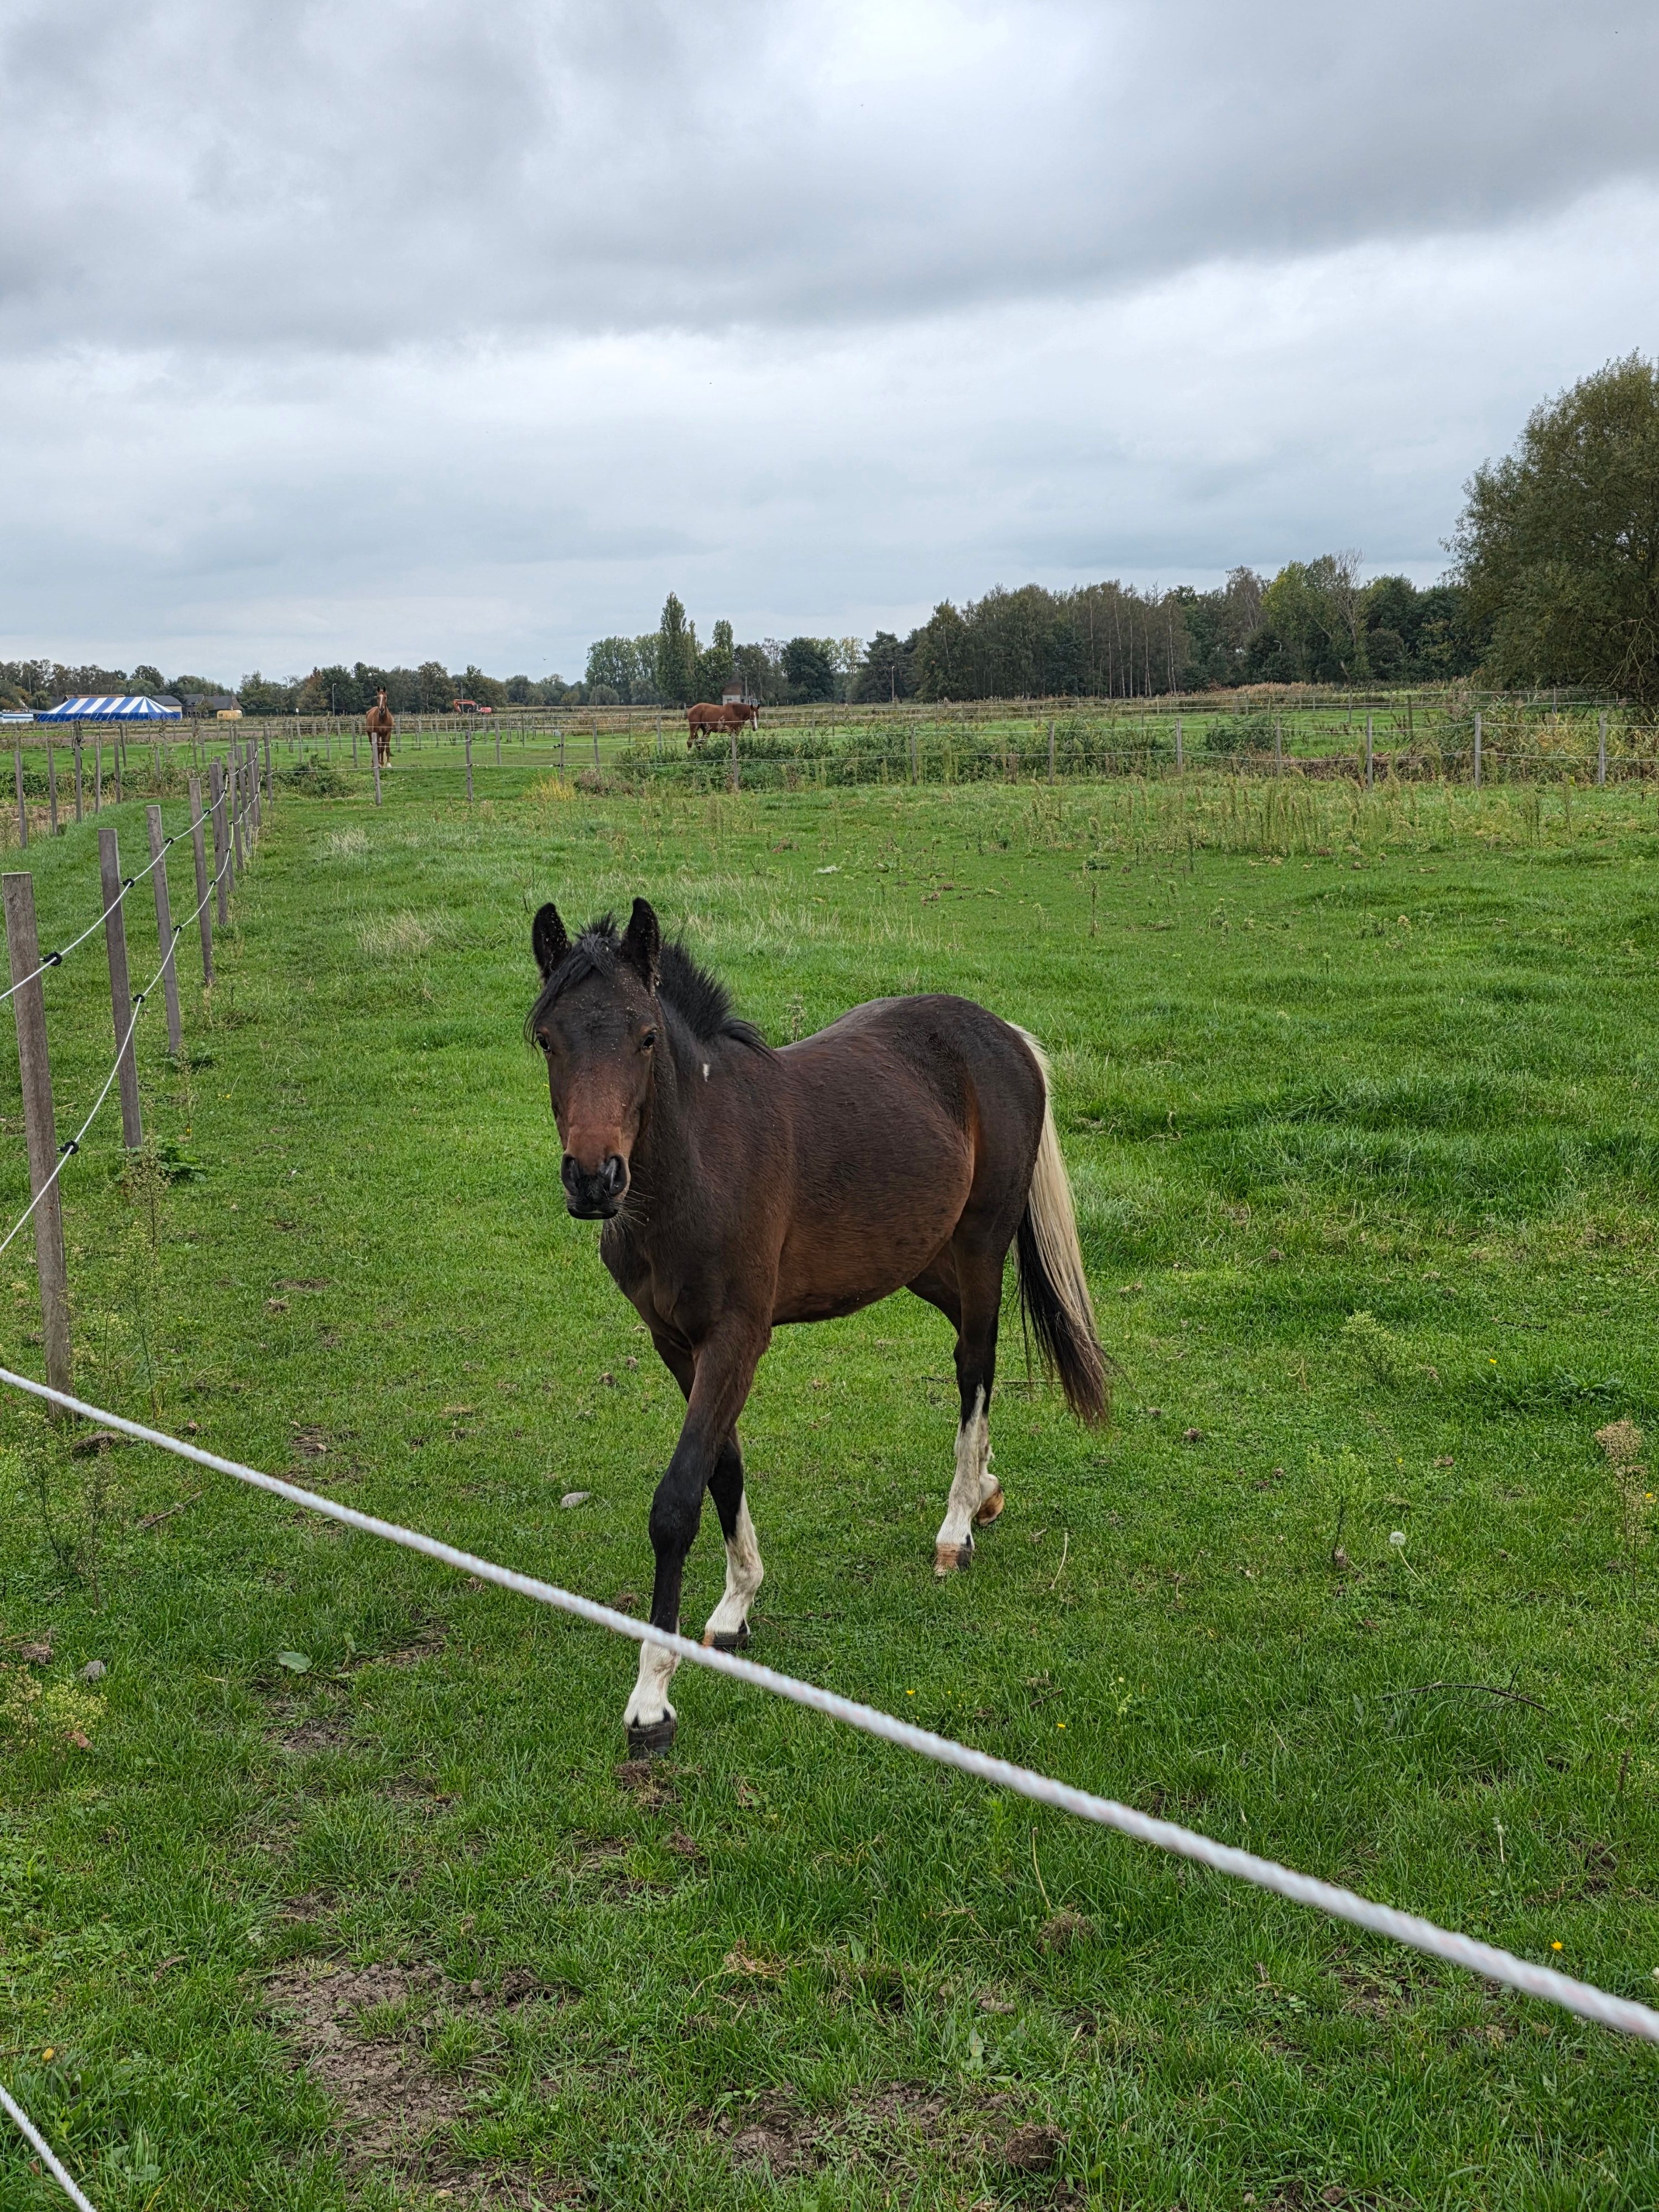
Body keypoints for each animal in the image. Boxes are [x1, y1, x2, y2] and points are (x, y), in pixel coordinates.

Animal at [366, 689, 394, 766]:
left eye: (385, 697)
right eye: (377, 697)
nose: (382, 710)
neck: (383, 719)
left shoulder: (388, 733)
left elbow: (386, 748)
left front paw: (388, 764)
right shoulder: (377, 734)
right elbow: (378, 748)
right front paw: (379, 763)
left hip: (383, 735)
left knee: (382, 748)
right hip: (370, 735)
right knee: (373, 748)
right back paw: (374, 763)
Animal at [526, 898, 1108, 1754]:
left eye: (646, 1036)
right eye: (548, 1036)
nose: (594, 1180)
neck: (700, 1167)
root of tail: (1003, 1035)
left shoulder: (736, 1339)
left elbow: (677, 1501)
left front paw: (652, 1699)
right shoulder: (680, 1346)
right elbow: (723, 1469)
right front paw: (736, 1605)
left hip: (979, 1252)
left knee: (976, 1365)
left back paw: (957, 1526)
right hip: (920, 1261)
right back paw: (987, 1489)